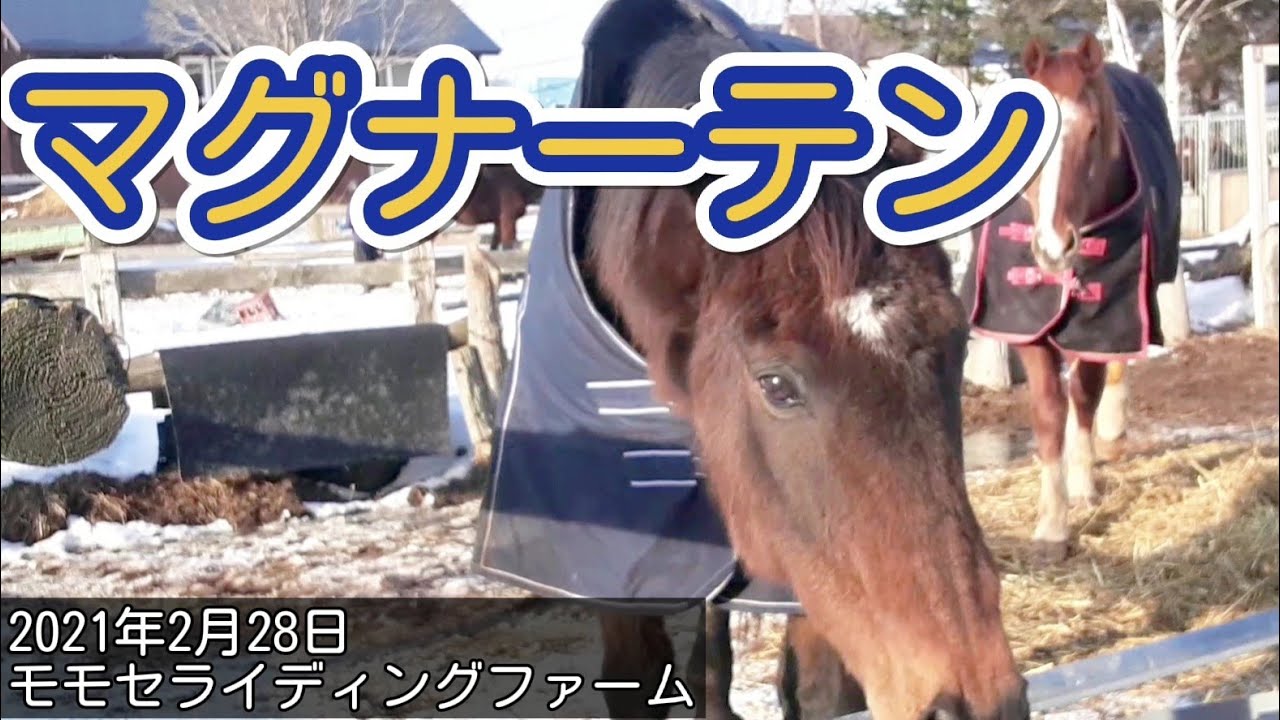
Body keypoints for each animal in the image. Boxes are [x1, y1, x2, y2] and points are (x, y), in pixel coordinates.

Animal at [473, 1, 1030, 719]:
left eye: (957, 342)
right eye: (776, 385)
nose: (976, 699)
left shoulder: (808, 583)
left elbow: (818, 694)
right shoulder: (611, 564)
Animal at [960, 33, 1181, 563]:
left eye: (1093, 129)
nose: (1053, 247)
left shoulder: (1103, 319)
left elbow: (1084, 393)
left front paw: (1080, 489)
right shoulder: (1025, 324)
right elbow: (1047, 411)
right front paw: (1051, 525)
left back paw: (1112, 432)